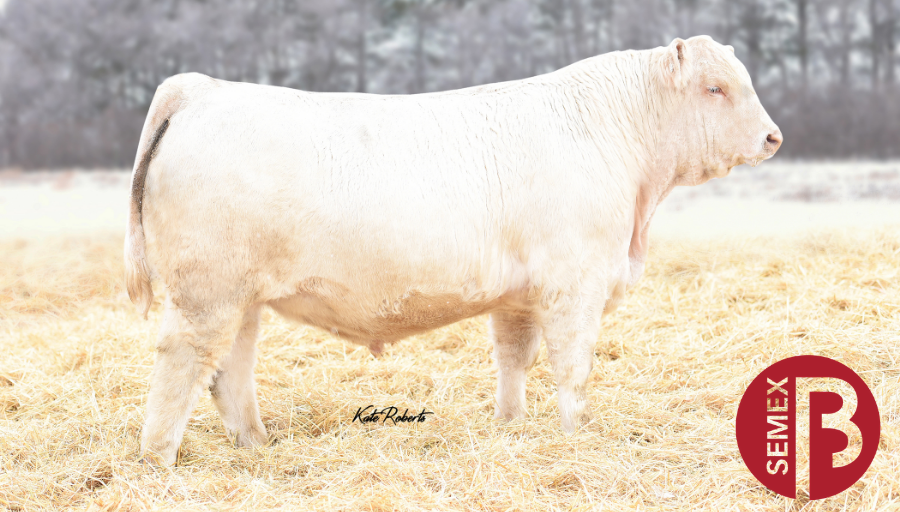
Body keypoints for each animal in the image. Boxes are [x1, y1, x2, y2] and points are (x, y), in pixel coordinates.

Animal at [126, 36, 781, 465]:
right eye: (716, 87)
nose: (773, 137)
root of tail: (202, 89)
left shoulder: (521, 295)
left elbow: (514, 358)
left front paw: (512, 427)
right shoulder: (576, 284)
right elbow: (573, 367)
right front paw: (578, 436)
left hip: (242, 296)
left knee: (230, 369)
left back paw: (257, 445)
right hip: (206, 291)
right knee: (182, 361)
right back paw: (158, 460)